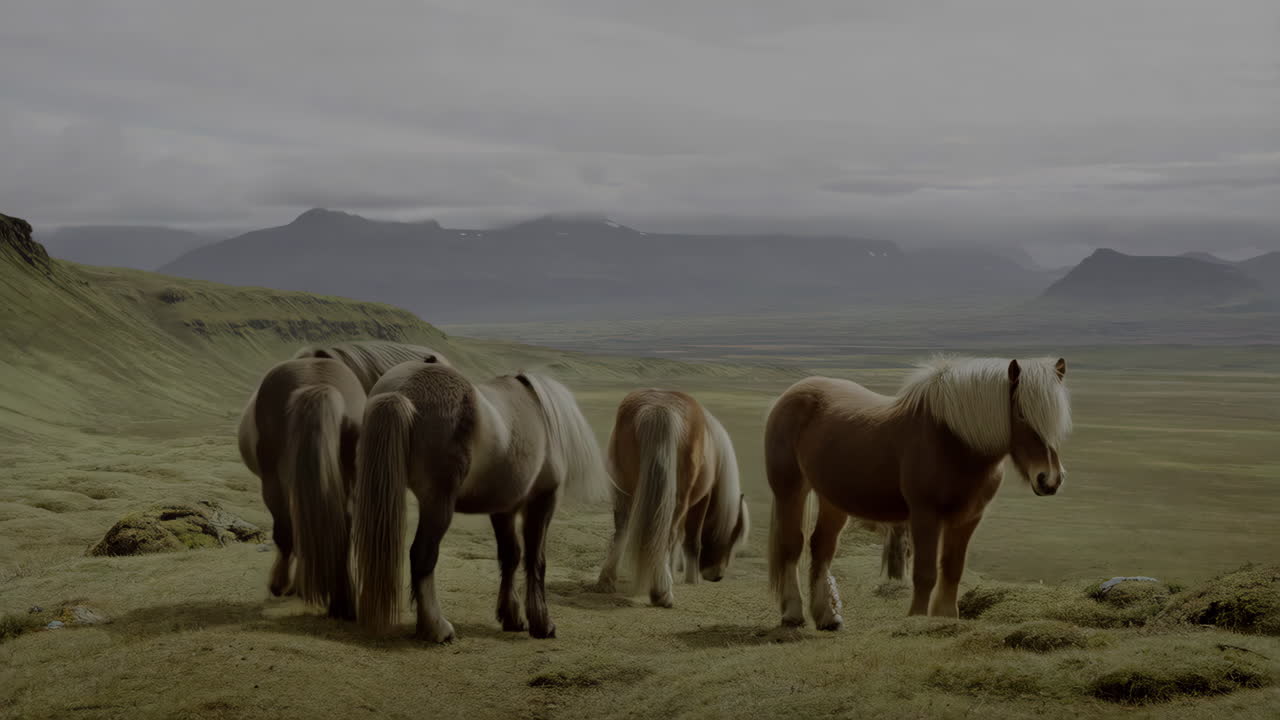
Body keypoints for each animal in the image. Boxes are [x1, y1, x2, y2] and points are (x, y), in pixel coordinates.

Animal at [352, 361, 608, 642]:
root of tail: (402, 390)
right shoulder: (543, 502)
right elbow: (535, 560)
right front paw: (542, 624)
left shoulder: (503, 509)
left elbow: (510, 556)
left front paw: (512, 617)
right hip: (438, 503)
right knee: (422, 556)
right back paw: (437, 628)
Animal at [595, 389, 749, 607]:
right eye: (732, 535)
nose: (717, 575)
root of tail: (659, 409)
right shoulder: (701, 500)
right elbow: (691, 541)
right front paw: (691, 580)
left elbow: (679, 541)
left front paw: (674, 573)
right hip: (677, 500)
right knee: (666, 535)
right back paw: (662, 593)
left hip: (624, 490)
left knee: (622, 531)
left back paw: (606, 581)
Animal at [765, 356, 1071, 627]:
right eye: (1021, 414)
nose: (1050, 479)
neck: (953, 440)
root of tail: (793, 393)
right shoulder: (925, 515)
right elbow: (925, 572)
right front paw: (917, 618)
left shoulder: (968, 518)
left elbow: (952, 568)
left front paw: (945, 617)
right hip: (790, 490)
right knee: (792, 544)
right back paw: (792, 613)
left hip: (833, 499)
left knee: (822, 546)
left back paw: (828, 617)